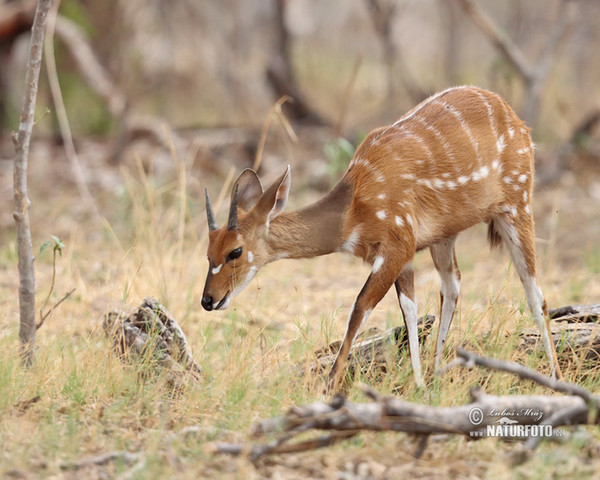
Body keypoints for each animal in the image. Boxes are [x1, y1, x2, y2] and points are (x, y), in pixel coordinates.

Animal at [203, 86, 564, 390]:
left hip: (517, 205)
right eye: (208, 253)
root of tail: (518, 122)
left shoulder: (397, 245)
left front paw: (329, 386)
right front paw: (419, 385)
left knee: (535, 293)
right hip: (444, 236)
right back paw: (436, 373)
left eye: (235, 251)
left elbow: (360, 308)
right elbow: (410, 309)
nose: (208, 300)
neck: (353, 209)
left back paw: (556, 379)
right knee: (452, 286)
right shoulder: (404, 251)